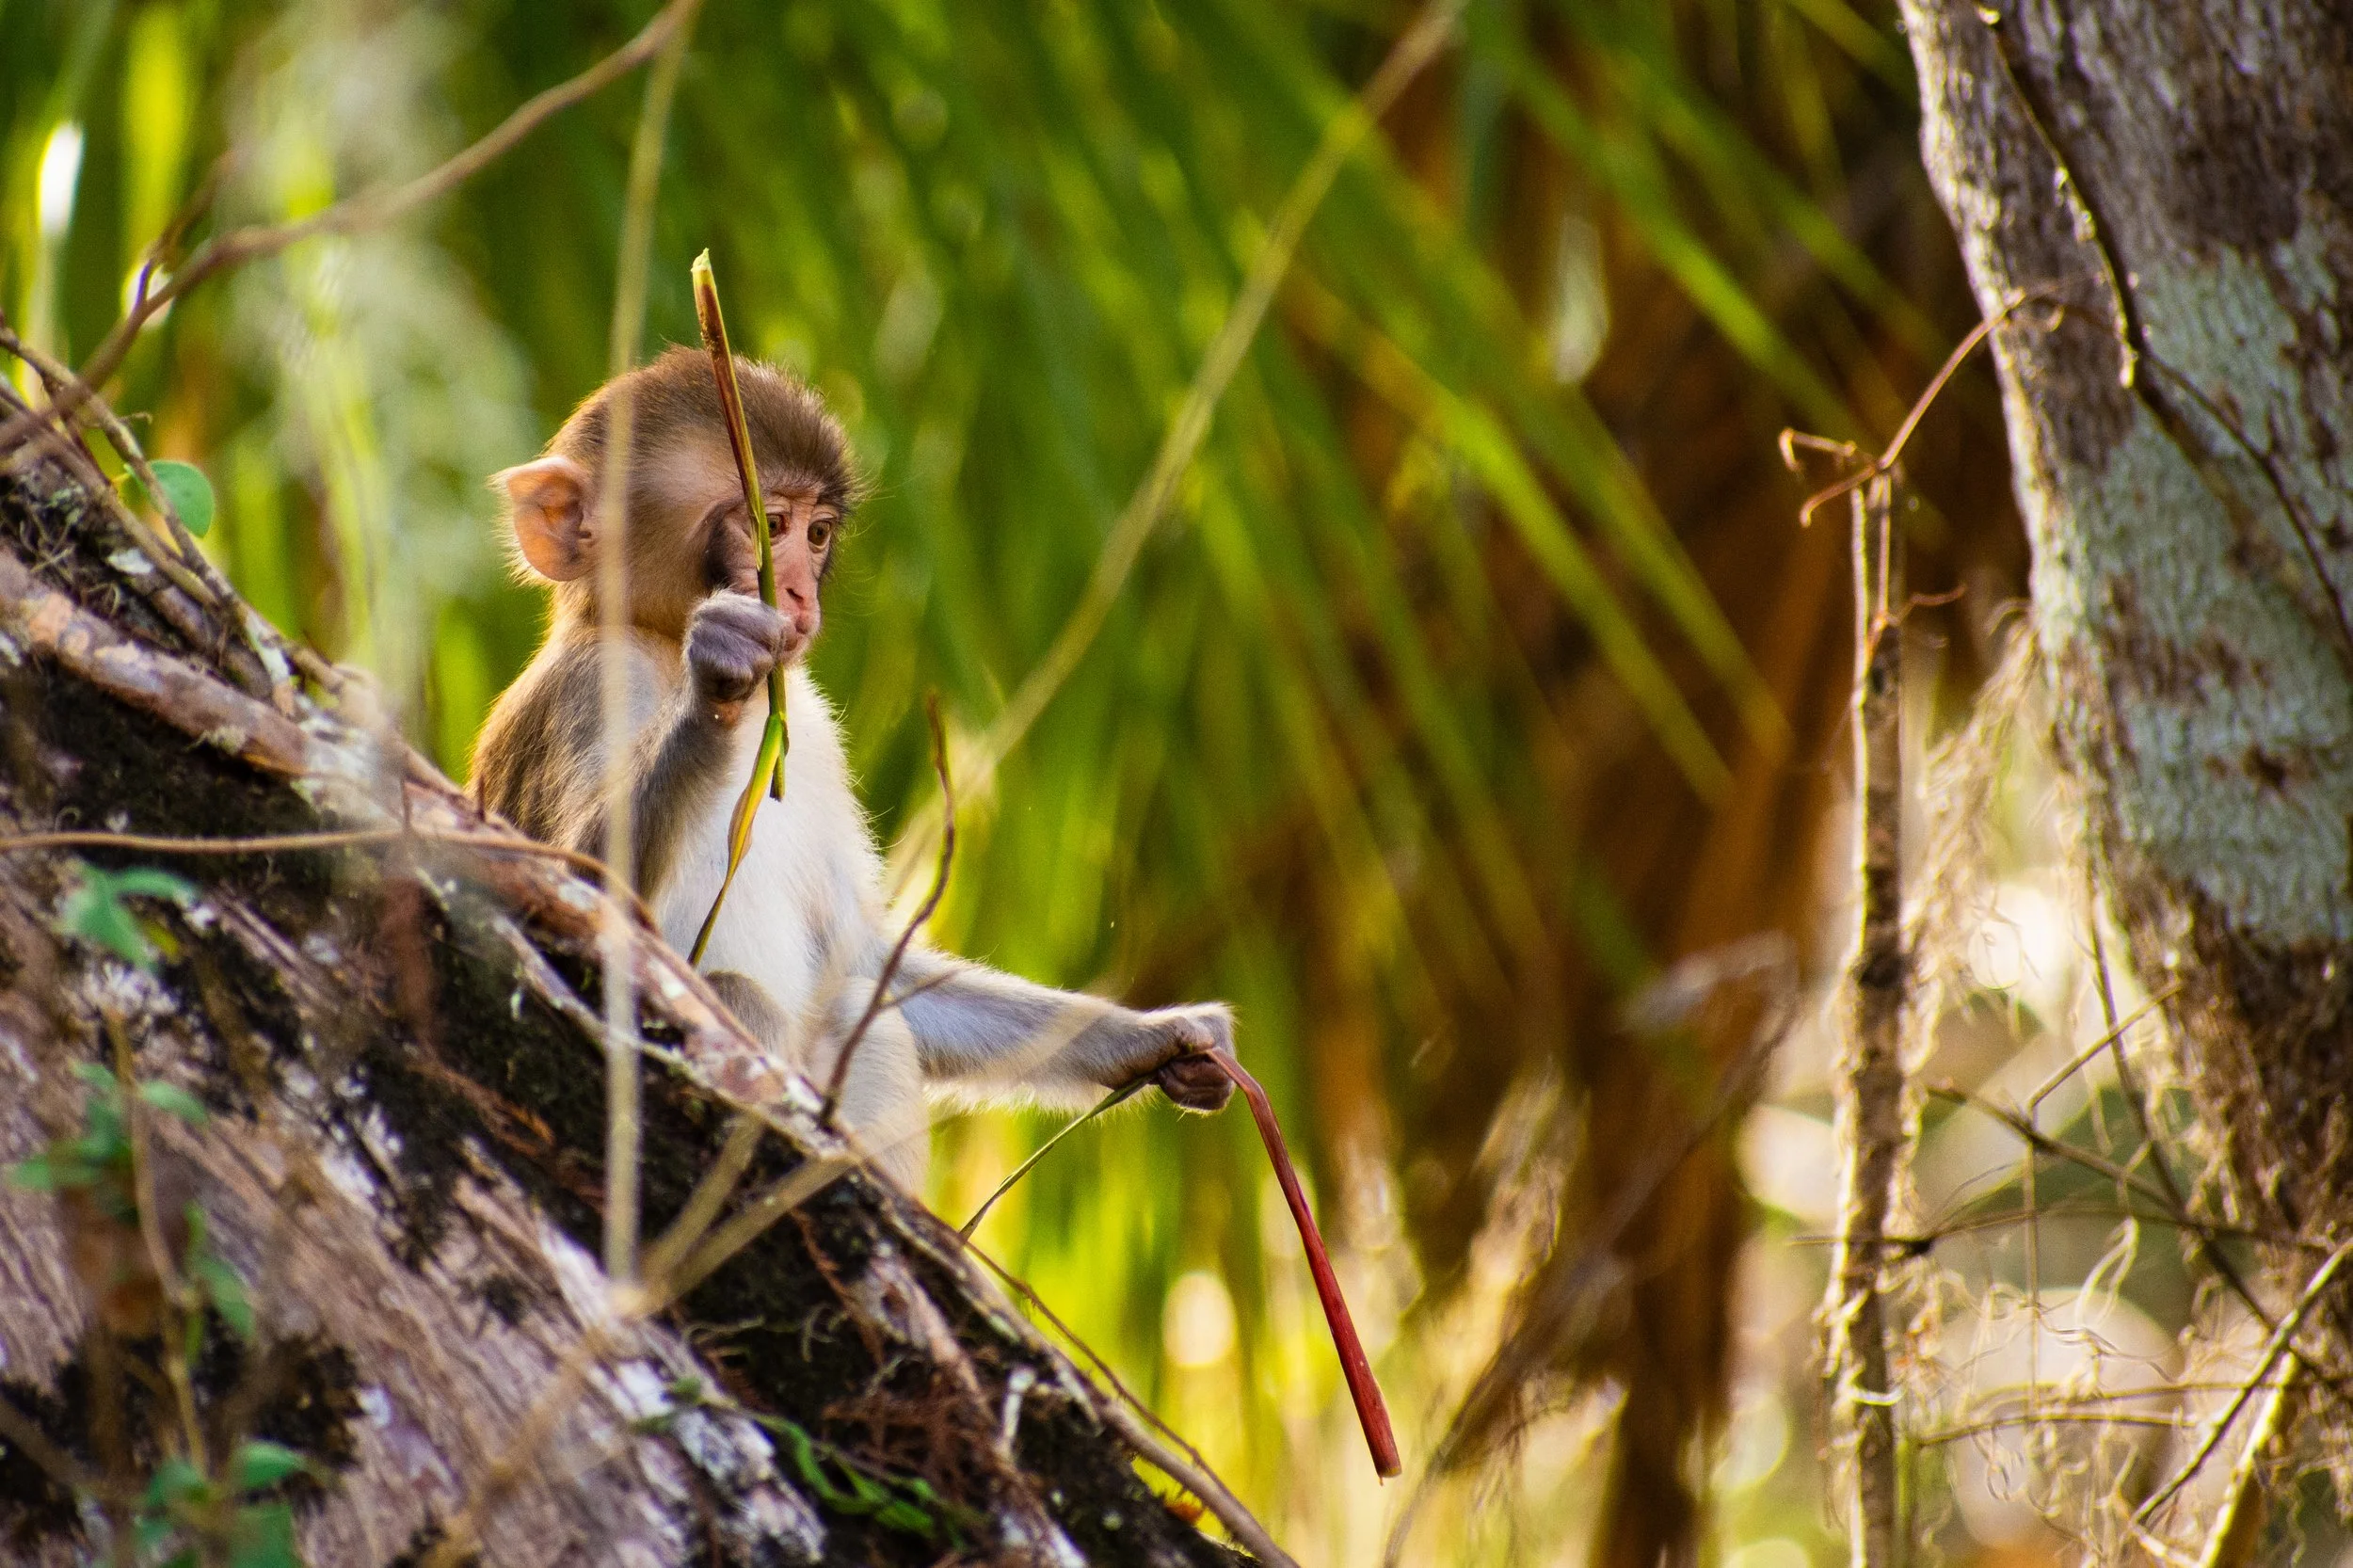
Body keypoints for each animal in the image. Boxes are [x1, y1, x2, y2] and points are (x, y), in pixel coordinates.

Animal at [471, 347, 1234, 1189]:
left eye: (818, 533)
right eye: (768, 527)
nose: (797, 593)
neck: (657, 643)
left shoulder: (811, 733)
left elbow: (862, 968)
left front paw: (1154, 1038)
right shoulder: (592, 689)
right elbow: (580, 896)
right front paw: (719, 677)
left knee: (853, 1015)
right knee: (736, 994)